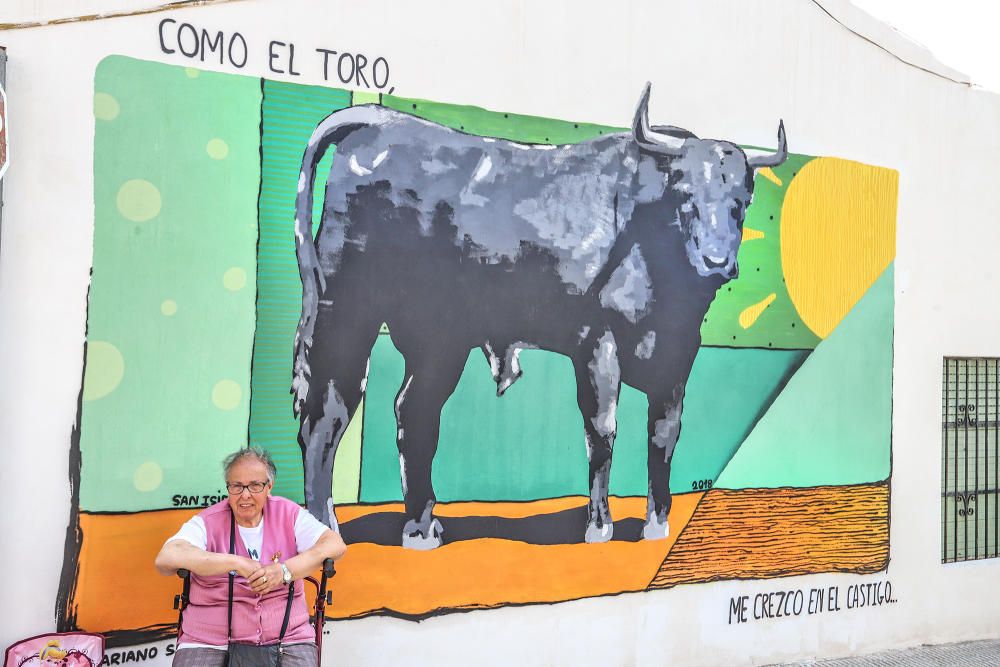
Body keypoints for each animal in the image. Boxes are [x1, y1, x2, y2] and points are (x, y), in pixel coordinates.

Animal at [292, 85, 784, 548]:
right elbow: (603, 429)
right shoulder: (598, 343)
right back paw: (329, 533)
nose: (717, 261)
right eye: (686, 193)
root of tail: (377, 119)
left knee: (413, 412)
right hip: (347, 313)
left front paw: (657, 525)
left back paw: (421, 528)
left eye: (743, 198)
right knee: (327, 413)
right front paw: (599, 527)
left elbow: (663, 435)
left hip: (439, 341)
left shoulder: (679, 353)